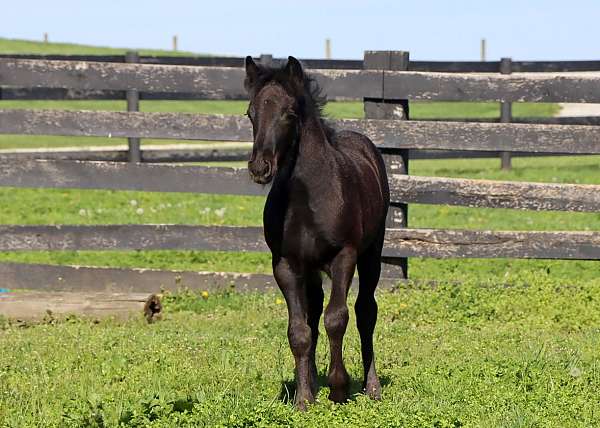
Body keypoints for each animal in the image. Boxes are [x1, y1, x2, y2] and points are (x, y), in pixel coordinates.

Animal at [246, 56, 392, 408]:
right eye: (250, 113)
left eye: (289, 113)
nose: (260, 167)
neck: (307, 197)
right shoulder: (285, 264)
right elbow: (299, 330)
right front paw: (304, 398)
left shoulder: (344, 256)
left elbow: (337, 318)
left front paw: (339, 389)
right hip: (310, 269)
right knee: (313, 313)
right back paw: (312, 380)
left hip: (372, 254)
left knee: (365, 311)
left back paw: (372, 387)